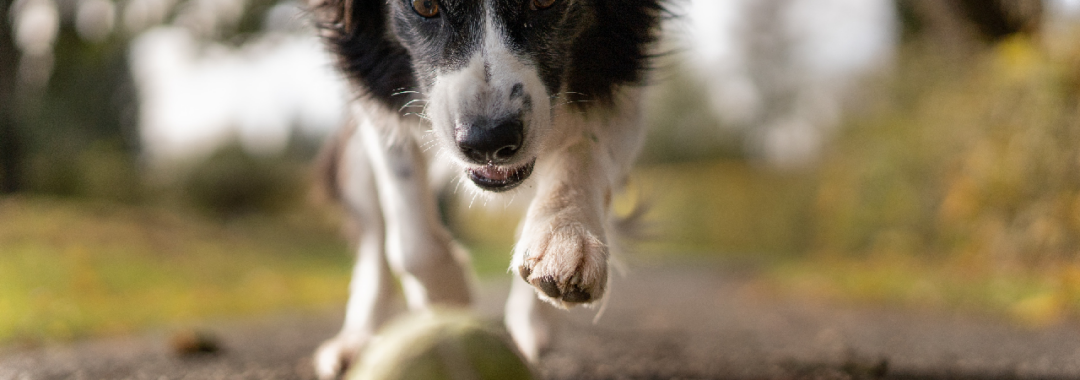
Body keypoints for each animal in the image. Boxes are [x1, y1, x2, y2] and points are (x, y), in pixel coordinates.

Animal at [306, 0, 665, 377]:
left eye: (544, 2)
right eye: (424, 6)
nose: (488, 141)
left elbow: (584, 147)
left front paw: (565, 238)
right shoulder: (370, 84)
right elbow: (411, 238)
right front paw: (448, 301)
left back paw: (533, 323)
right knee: (374, 233)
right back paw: (355, 342)